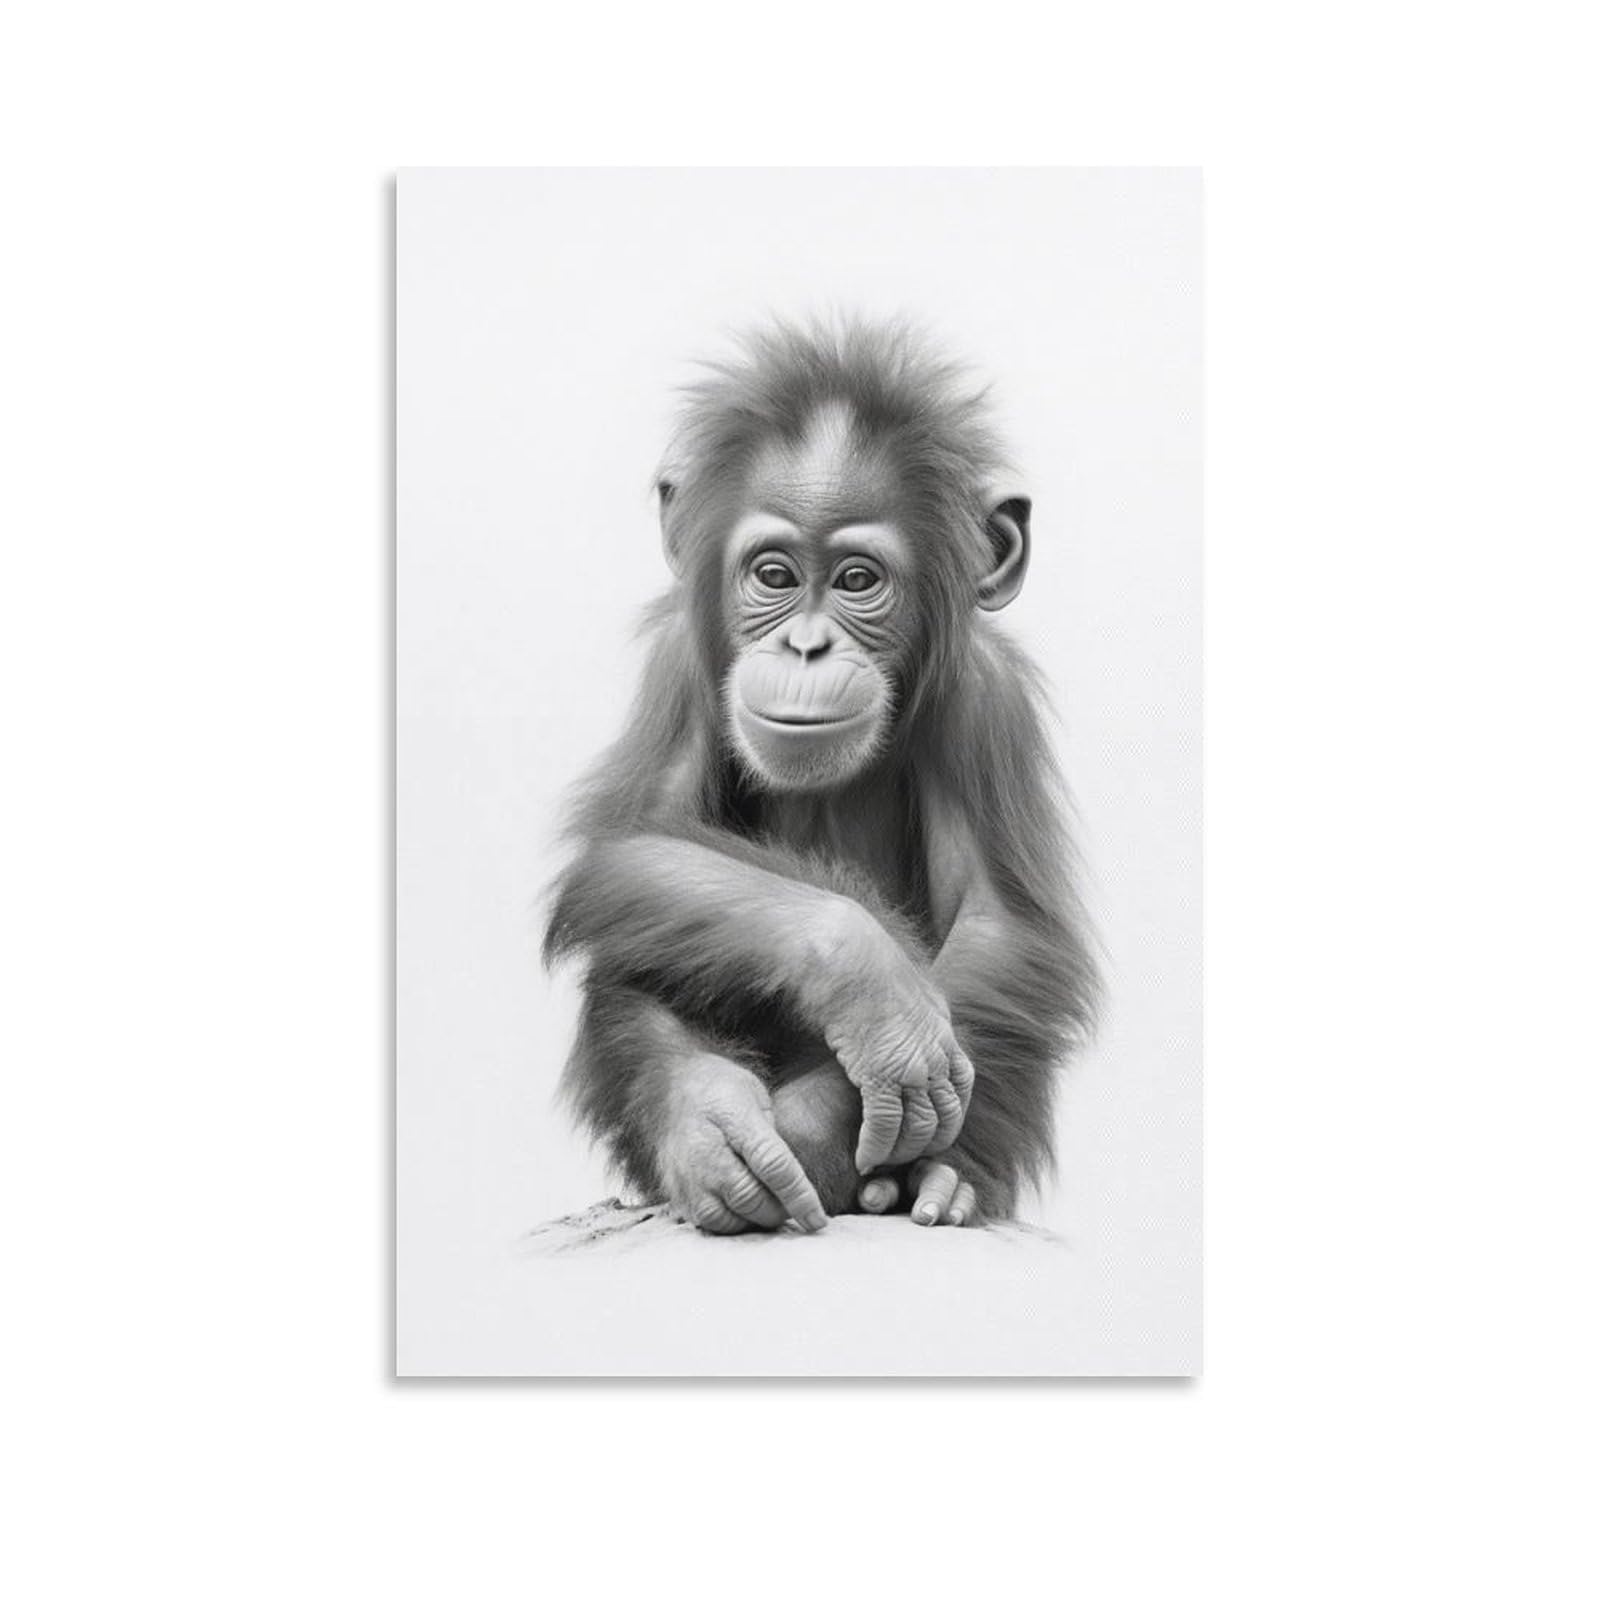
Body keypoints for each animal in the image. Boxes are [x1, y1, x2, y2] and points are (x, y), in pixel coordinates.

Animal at [544, 319, 1098, 1233]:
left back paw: (940, 1186)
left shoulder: (983, 700)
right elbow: (631, 847)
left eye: (857, 582)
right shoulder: (680, 663)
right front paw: (858, 1001)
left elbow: (996, 924)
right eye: (773, 575)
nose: (806, 646)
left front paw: (814, 1125)